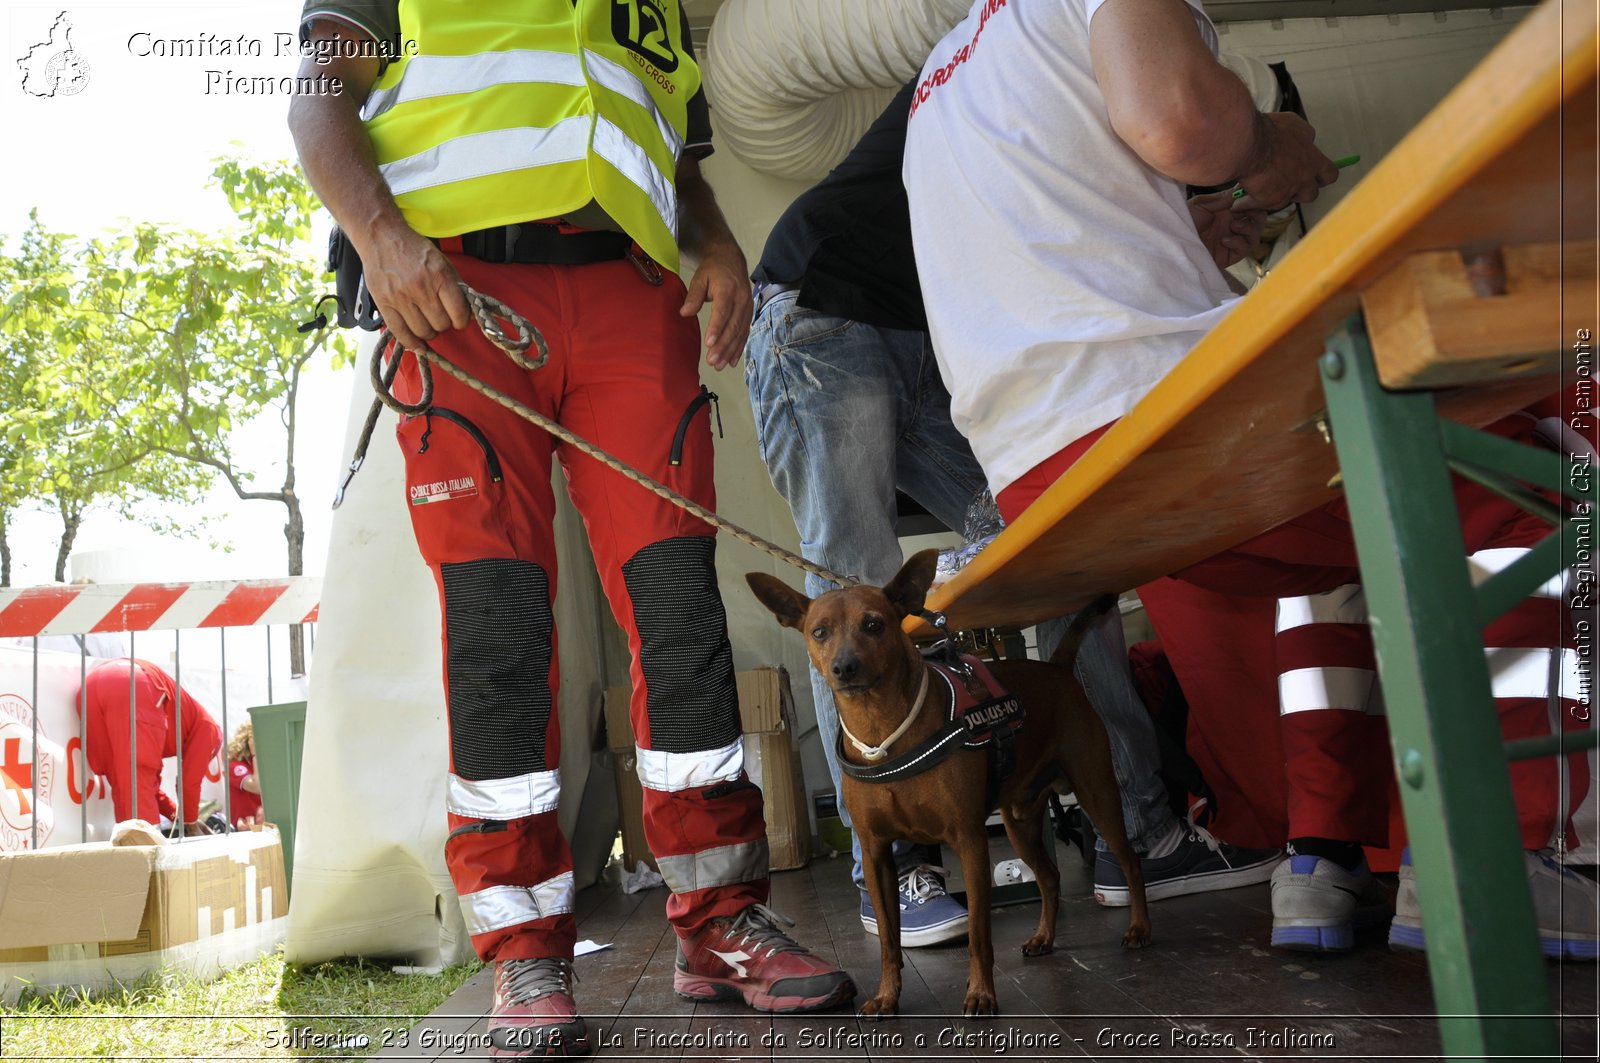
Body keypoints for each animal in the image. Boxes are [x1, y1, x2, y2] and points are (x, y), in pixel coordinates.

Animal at [748, 550, 1152, 1018]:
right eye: (819, 631)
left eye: (874, 625)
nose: (844, 667)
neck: (882, 732)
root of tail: (1056, 669)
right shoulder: (877, 855)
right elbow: (888, 940)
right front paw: (887, 995)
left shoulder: (969, 842)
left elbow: (978, 934)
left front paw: (980, 994)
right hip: (1019, 823)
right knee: (1050, 878)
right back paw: (1044, 938)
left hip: (1096, 795)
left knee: (1130, 861)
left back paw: (1139, 928)